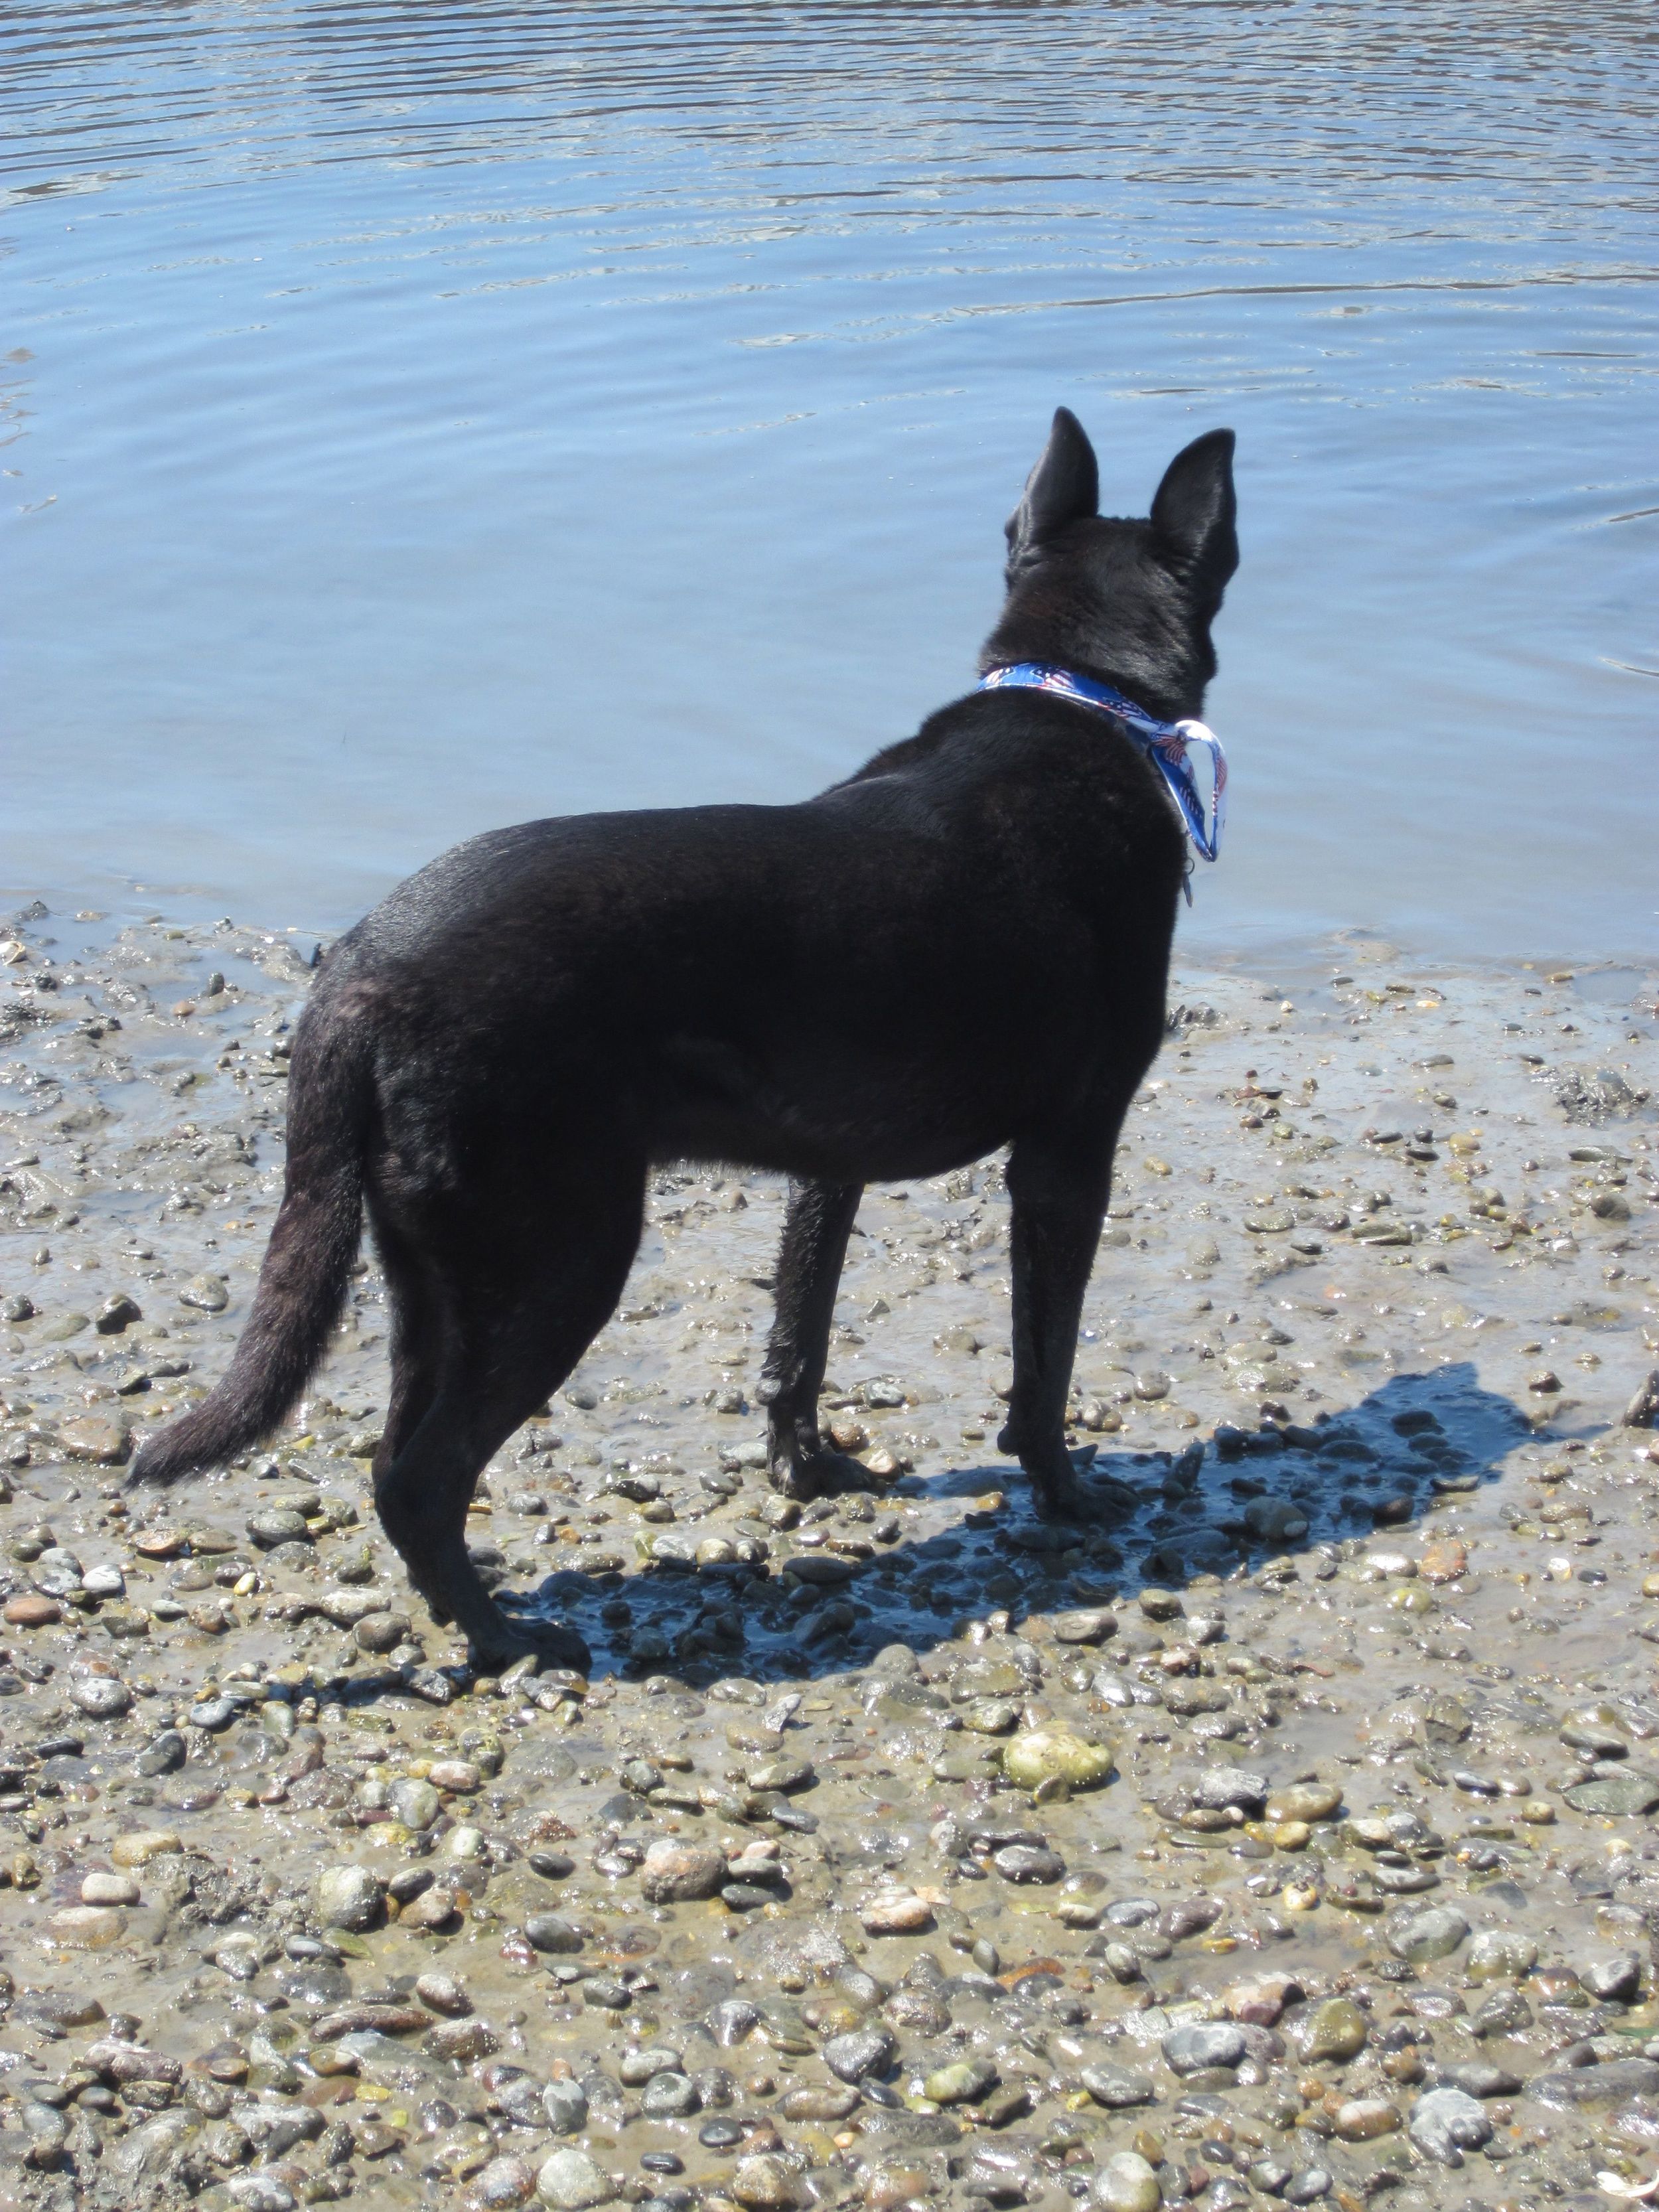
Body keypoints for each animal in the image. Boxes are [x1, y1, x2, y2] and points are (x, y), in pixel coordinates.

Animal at [136, 411, 1238, 1672]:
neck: (1085, 699)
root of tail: (354, 982)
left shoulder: (830, 1161)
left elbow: (801, 1322)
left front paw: (806, 1466)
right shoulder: (1068, 1154)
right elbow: (1043, 1357)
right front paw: (1069, 1494)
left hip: (434, 1273)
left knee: (389, 1464)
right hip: (560, 1261)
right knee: (424, 1478)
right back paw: (513, 1639)